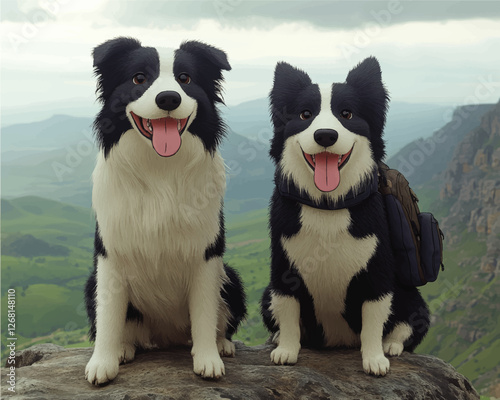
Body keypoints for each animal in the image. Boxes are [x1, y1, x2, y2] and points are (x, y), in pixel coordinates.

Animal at [85, 37, 247, 384]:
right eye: (139, 78)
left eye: (185, 78)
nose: (169, 98)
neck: (160, 169)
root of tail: (166, 337)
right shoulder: (110, 254)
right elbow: (108, 315)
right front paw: (102, 362)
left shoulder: (206, 254)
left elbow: (204, 312)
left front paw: (208, 359)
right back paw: (123, 349)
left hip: (232, 277)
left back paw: (222, 344)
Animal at [262, 57, 430, 376]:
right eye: (305, 114)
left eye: (347, 114)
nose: (326, 135)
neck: (328, 206)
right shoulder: (283, 268)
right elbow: (287, 309)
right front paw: (286, 350)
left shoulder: (377, 271)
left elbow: (374, 318)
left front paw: (375, 358)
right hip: (265, 294)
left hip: (412, 297)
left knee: (408, 323)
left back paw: (392, 345)